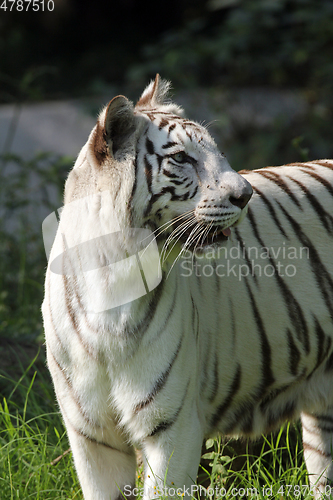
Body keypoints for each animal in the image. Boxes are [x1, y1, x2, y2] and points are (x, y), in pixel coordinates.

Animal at [41, 75, 332, 500]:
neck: (111, 281)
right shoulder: (91, 436)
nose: (245, 195)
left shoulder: (172, 425)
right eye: (181, 158)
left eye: (219, 152)